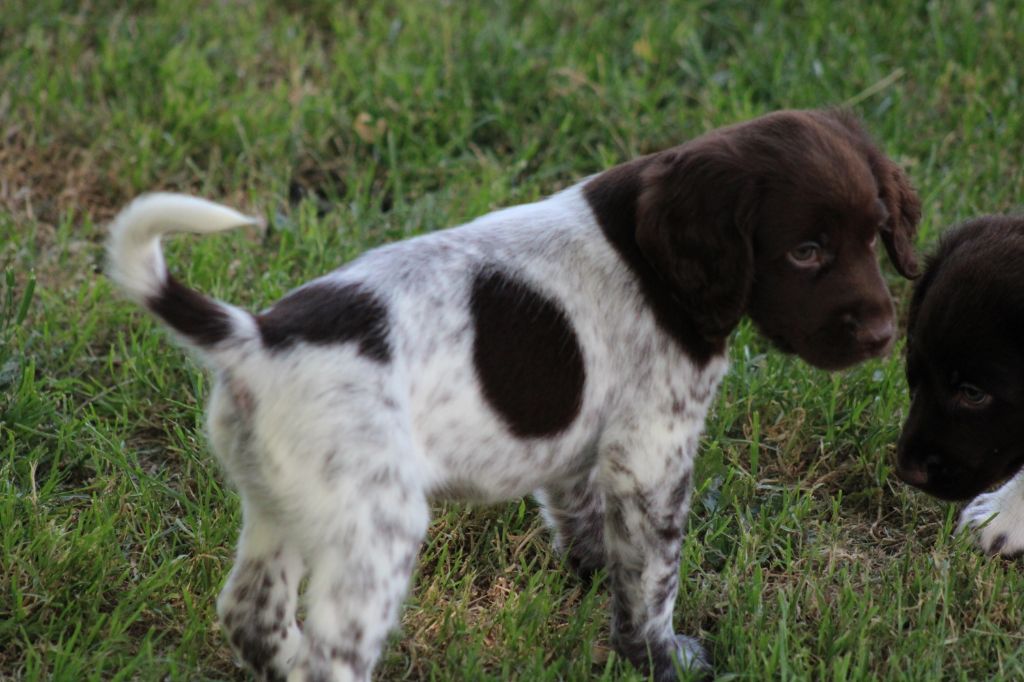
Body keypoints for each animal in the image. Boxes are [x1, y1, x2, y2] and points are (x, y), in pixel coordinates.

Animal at [105, 109, 921, 675]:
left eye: (875, 234)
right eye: (805, 252)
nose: (885, 335)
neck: (657, 259)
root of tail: (258, 337)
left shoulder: (579, 454)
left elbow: (593, 534)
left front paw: (594, 587)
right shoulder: (652, 454)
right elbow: (654, 577)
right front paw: (659, 658)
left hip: (280, 504)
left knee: (254, 617)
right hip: (374, 527)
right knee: (330, 655)